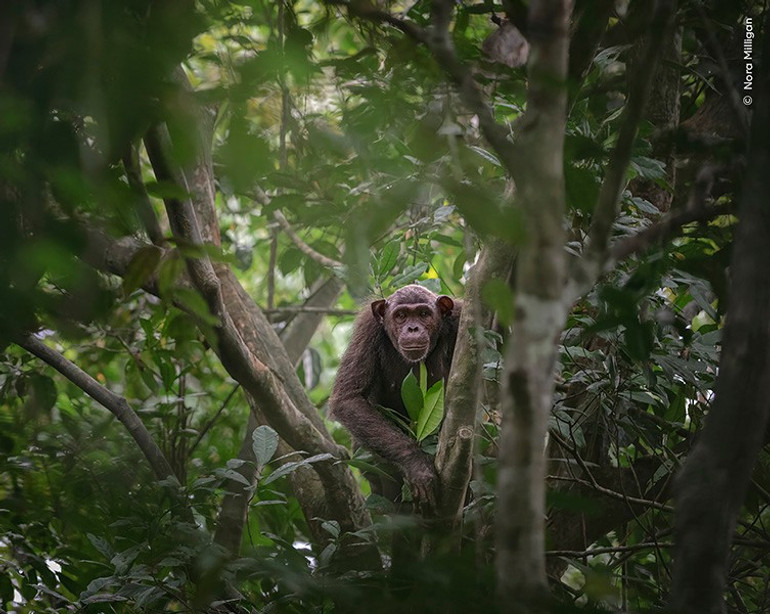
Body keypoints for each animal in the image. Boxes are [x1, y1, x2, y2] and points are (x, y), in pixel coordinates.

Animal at [328, 286, 460, 512]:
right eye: (401, 315)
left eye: (424, 314)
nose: (413, 328)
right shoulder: (367, 328)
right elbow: (349, 398)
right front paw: (417, 465)